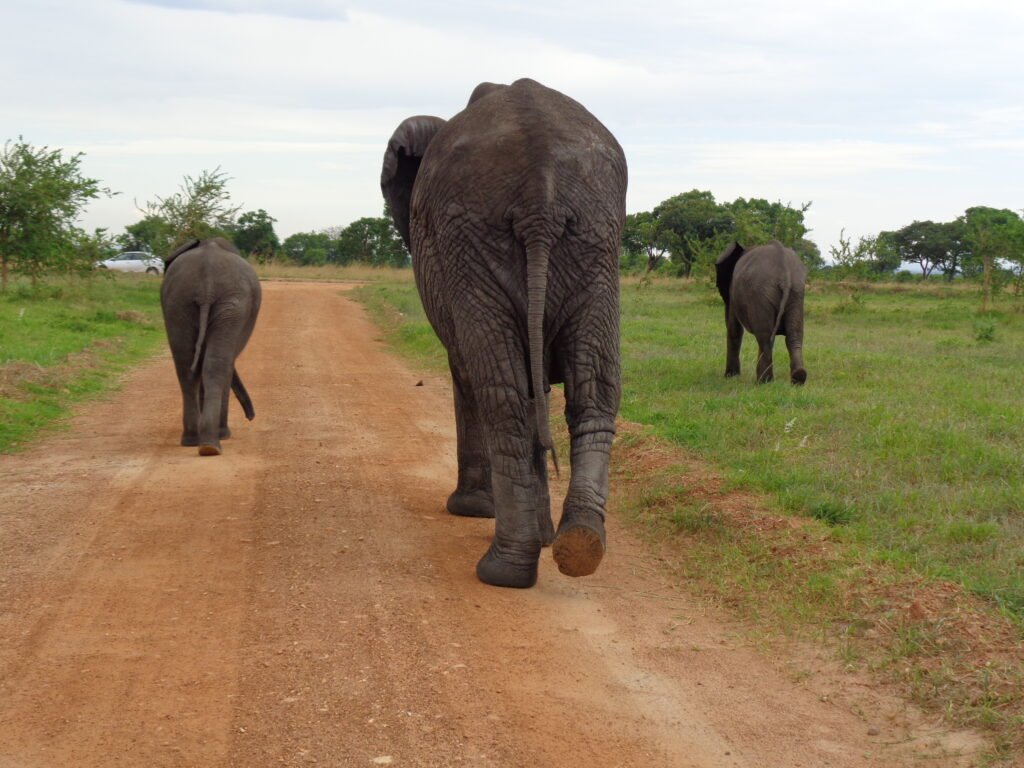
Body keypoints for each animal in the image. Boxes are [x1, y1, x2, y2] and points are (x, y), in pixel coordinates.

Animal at [160, 237, 261, 455]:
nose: (251, 417)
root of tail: (206, 287)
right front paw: (224, 434)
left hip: (180, 303)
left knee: (186, 367)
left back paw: (195, 441)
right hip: (229, 305)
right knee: (217, 366)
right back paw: (213, 443)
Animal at [381, 78, 627, 589]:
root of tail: (540, 183)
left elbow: (468, 375)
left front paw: (473, 511)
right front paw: (546, 535)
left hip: (476, 239)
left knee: (501, 393)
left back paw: (503, 570)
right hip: (595, 239)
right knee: (592, 387)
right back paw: (578, 547)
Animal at [715, 240, 807, 384]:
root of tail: (784, 270)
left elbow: (735, 330)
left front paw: (731, 377)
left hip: (761, 293)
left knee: (764, 337)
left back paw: (763, 382)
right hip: (796, 291)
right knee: (793, 335)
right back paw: (798, 378)